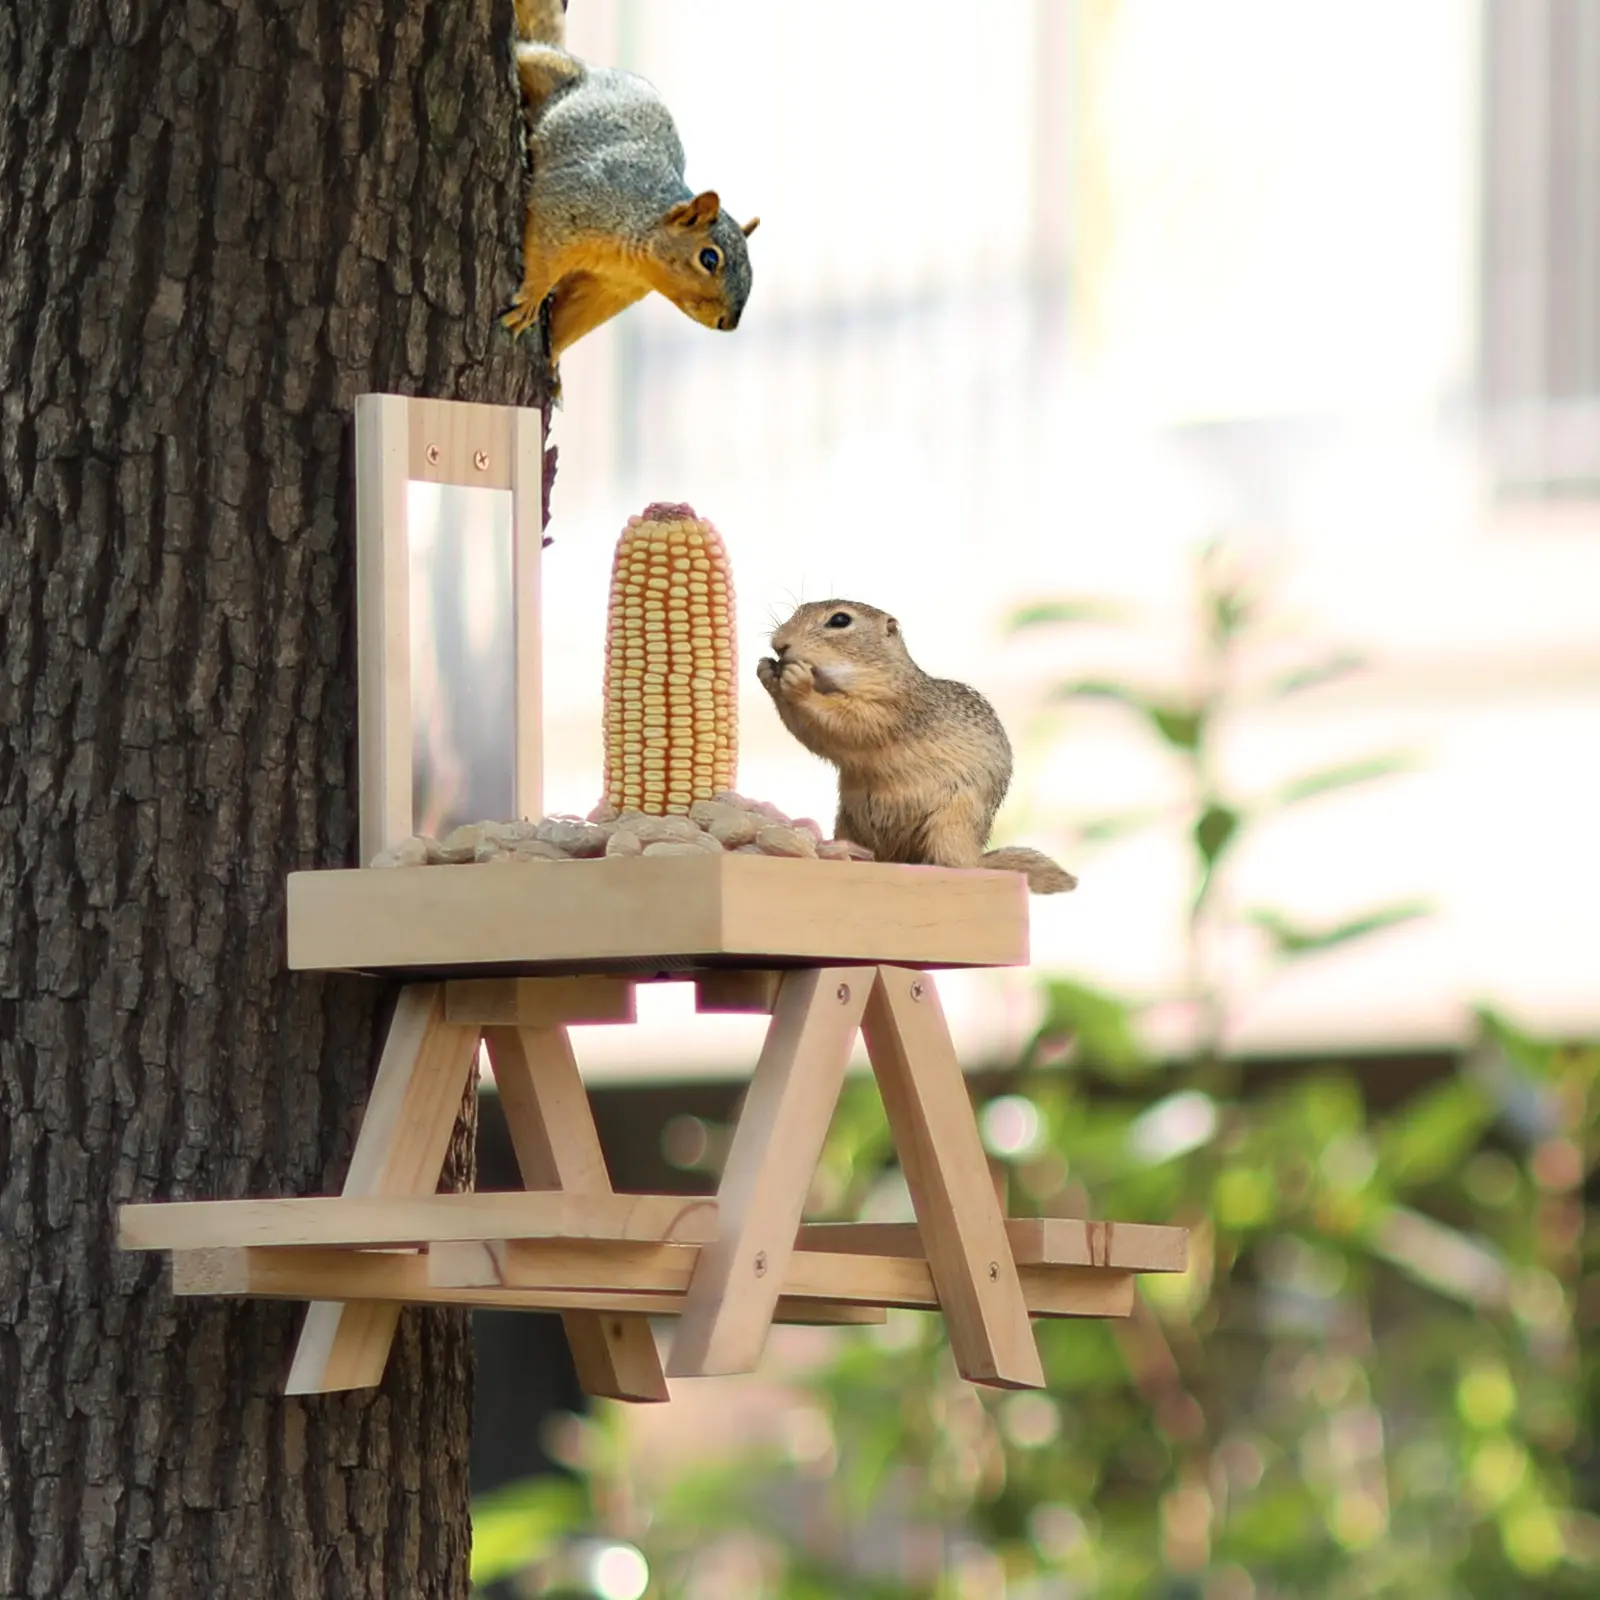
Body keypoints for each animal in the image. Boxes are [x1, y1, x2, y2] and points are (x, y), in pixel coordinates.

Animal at [512, 0, 761, 361]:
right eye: (709, 258)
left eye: (752, 270)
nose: (728, 322)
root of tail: (596, 70)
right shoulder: (569, 202)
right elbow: (544, 248)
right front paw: (532, 296)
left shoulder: (610, 288)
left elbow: (573, 319)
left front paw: (553, 363)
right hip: (546, 70)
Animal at [758, 601, 1081, 896]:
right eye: (798, 609)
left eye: (840, 620)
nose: (779, 643)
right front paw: (767, 671)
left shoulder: (889, 712)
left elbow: (842, 724)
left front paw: (797, 682)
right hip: (850, 824)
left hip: (949, 825)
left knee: (958, 864)